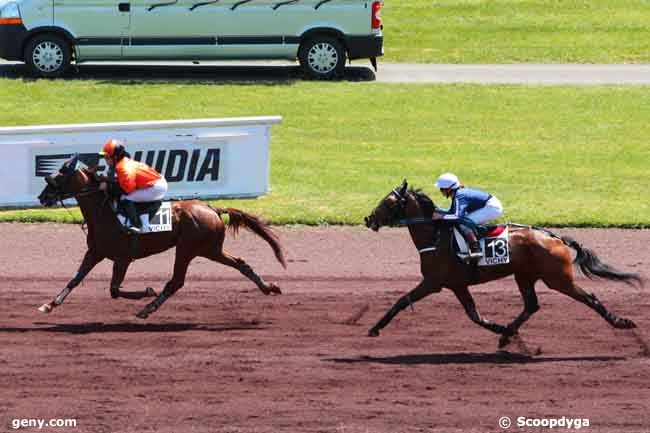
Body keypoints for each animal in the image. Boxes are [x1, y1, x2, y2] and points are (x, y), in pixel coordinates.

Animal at [36, 154, 284, 318]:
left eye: (59, 177)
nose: (42, 197)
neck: (104, 211)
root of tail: (212, 209)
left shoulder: (122, 258)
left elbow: (114, 290)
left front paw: (147, 291)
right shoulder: (96, 252)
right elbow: (76, 279)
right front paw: (50, 304)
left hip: (187, 249)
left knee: (176, 282)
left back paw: (148, 308)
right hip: (210, 249)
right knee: (241, 263)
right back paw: (268, 287)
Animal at [362, 180, 640, 348]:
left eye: (388, 202)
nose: (368, 219)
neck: (434, 236)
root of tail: (556, 238)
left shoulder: (433, 282)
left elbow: (401, 301)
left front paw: (375, 328)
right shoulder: (457, 285)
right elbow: (474, 315)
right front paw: (500, 329)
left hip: (557, 278)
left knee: (589, 298)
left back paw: (622, 322)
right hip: (525, 275)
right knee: (531, 305)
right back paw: (506, 335)